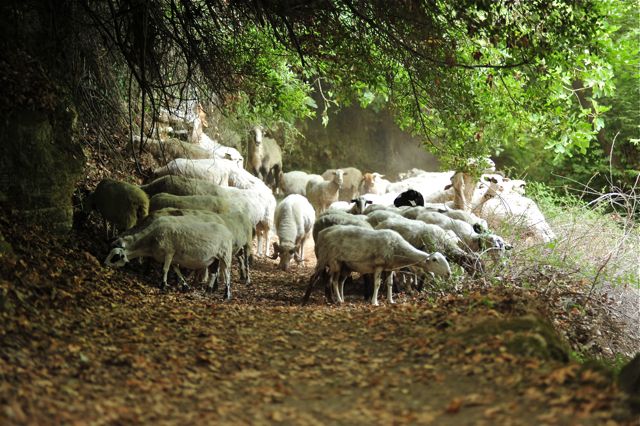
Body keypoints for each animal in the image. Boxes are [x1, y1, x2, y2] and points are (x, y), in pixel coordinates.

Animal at [105, 216, 235, 300]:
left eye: (115, 256)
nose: (104, 263)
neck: (149, 241)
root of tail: (228, 231)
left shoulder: (169, 252)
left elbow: (165, 269)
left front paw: (163, 285)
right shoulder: (173, 257)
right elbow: (176, 270)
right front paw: (185, 286)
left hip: (225, 255)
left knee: (227, 274)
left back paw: (226, 295)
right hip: (214, 257)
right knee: (213, 273)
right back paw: (208, 291)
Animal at [312, 225, 450, 304]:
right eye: (435, 260)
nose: (449, 273)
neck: (397, 248)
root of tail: (323, 233)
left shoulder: (389, 268)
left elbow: (390, 284)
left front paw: (391, 300)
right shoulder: (379, 266)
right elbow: (377, 284)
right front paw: (374, 302)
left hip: (345, 266)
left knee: (339, 281)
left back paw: (340, 299)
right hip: (333, 261)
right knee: (331, 280)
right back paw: (336, 300)